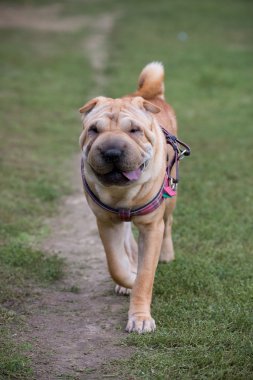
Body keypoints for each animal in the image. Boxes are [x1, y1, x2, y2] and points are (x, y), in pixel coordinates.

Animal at [79, 62, 190, 332]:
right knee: (127, 243)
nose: (111, 152)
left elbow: (146, 275)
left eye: (134, 130)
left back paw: (167, 255)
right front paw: (127, 279)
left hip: (171, 197)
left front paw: (140, 318)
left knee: (168, 224)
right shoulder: (106, 222)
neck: (122, 194)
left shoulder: (151, 227)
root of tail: (148, 94)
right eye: (93, 130)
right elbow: (116, 264)